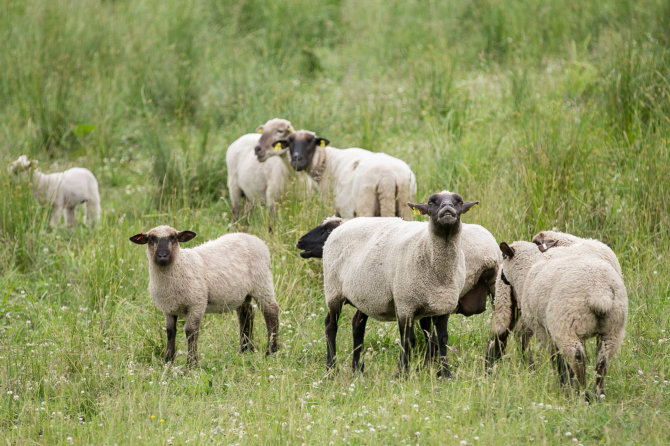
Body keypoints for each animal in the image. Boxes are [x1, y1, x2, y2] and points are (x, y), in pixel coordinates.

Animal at [130, 225, 280, 364]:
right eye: (151, 239)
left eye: (173, 238)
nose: (162, 256)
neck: (180, 266)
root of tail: (253, 238)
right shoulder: (168, 308)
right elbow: (170, 332)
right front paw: (168, 362)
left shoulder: (197, 302)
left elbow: (191, 331)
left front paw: (191, 364)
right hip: (242, 294)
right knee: (246, 315)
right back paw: (245, 350)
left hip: (262, 282)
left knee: (271, 312)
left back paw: (271, 351)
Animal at [266, 129, 418, 220]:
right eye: (289, 143)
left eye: (310, 141)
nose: (296, 159)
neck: (325, 161)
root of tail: (388, 177)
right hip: (405, 206)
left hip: (366, 207)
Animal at [320, 192, 478, 376]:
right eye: (432, 202)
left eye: (458, 201)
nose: (447, 208)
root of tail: (341, 225)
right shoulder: (405, 304)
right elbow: (408, 339)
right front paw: (402, 372)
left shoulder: (444, 305)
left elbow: (442, 339)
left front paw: (445, 374)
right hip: (333, 290)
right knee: (330, 325)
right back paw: (331, 369)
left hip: (363, 294)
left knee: (357, 325)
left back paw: (357, 369)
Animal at [494, 239, 632, 398]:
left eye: (504, 256)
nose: (502, 276)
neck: (528, 271)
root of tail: (599, 293)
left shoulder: (541, 327)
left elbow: (555, 356)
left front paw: (564, 382)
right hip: (614, 328)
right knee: (603, 359)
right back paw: (598, 394)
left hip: (565, 325)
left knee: (577, 357)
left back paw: (580, 391)